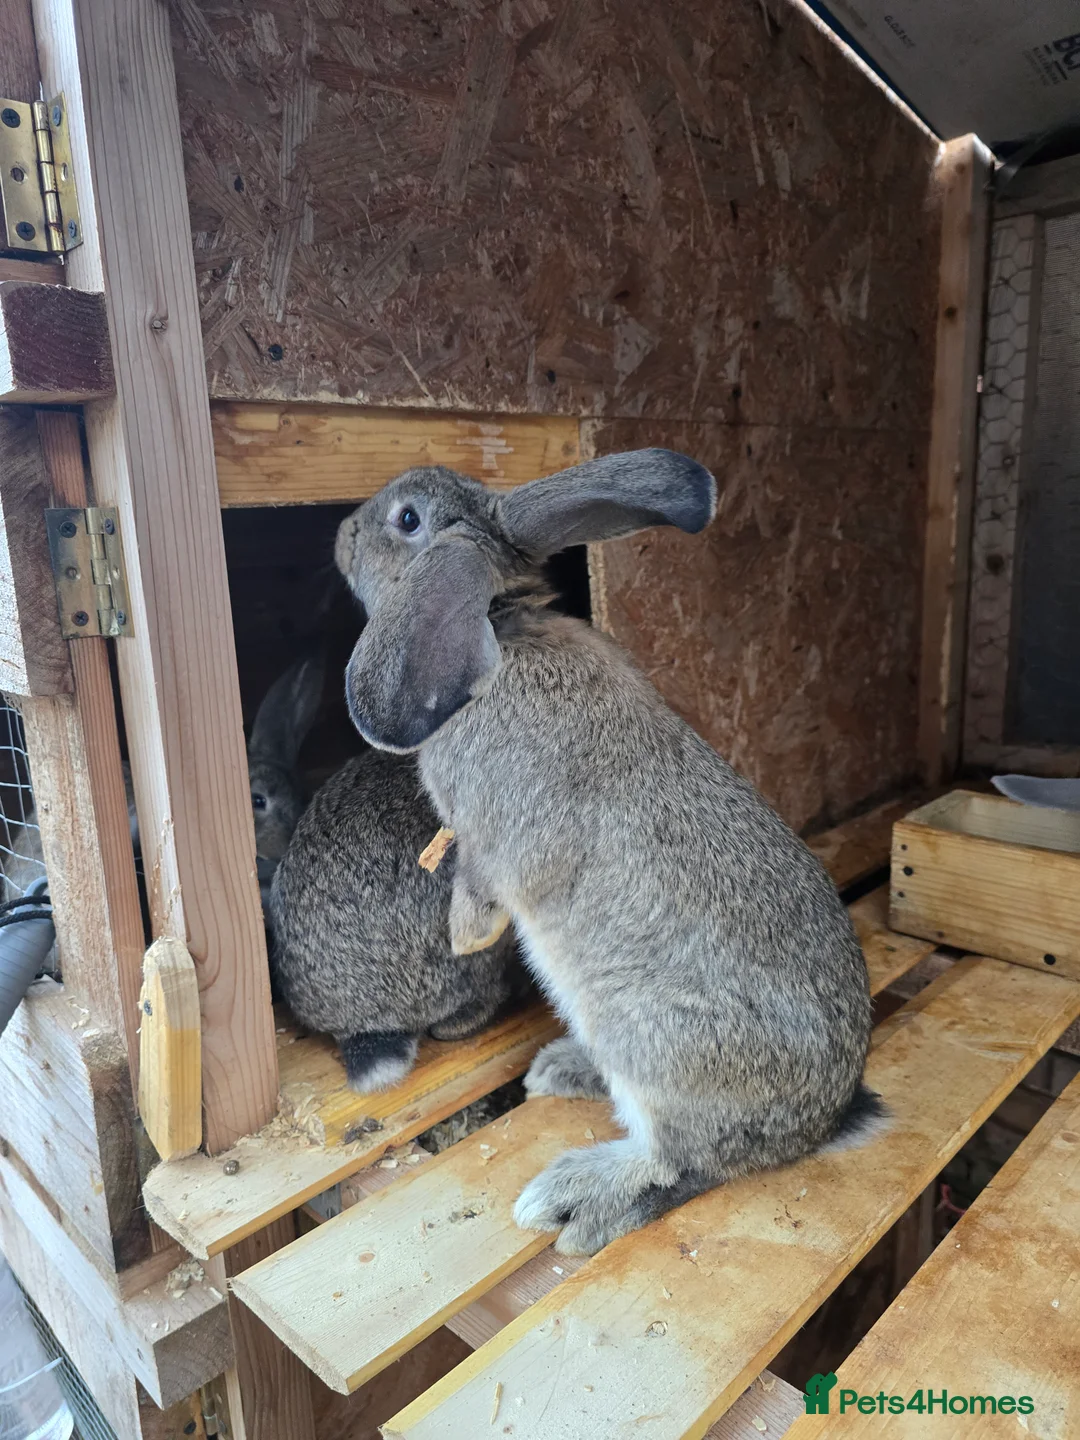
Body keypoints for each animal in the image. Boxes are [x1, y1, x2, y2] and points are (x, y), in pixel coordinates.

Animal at [333, 449, 885, 1255]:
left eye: (406, 519)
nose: (342, 532)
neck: (505, 627)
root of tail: (819, 1125)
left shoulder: (492, 834)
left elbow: (483, 884)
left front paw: (464, 936)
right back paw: (560, 1073)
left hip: (648, 1043)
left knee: (676, 1162)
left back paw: (573, 1202)